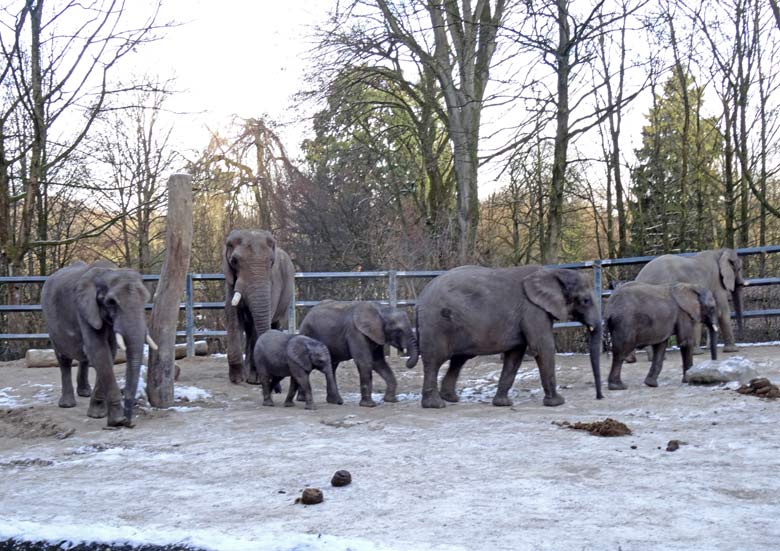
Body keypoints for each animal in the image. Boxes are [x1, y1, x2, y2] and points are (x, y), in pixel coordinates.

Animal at [40, 262, 156, 426]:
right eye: (111, 302)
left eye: (146, 299)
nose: (129, 422)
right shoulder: (85, 310)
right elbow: (99, 351)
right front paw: (116, 420)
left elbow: (109, 352)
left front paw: (99, 414)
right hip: (50, 320)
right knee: (63, 358)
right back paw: (67, 404)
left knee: (84, 356)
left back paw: (85, 393)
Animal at [227, 229, 298, 384]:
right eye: (234, 261)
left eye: (271, 262)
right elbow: (233, 317)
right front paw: (237, 379)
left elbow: (257, 323)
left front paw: (255, 379)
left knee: (276, 324)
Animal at [414, 268, 604, 410]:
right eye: (585, 300)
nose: (599, 397)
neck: (553, 273)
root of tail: (421, 297)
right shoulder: (533, 309)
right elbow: (543, 347)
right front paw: (558, 403)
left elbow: (515, 355)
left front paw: (503, 404)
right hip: (436, 324)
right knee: (435, 360)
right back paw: (435, 405)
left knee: (459, 359)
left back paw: (451, 398)